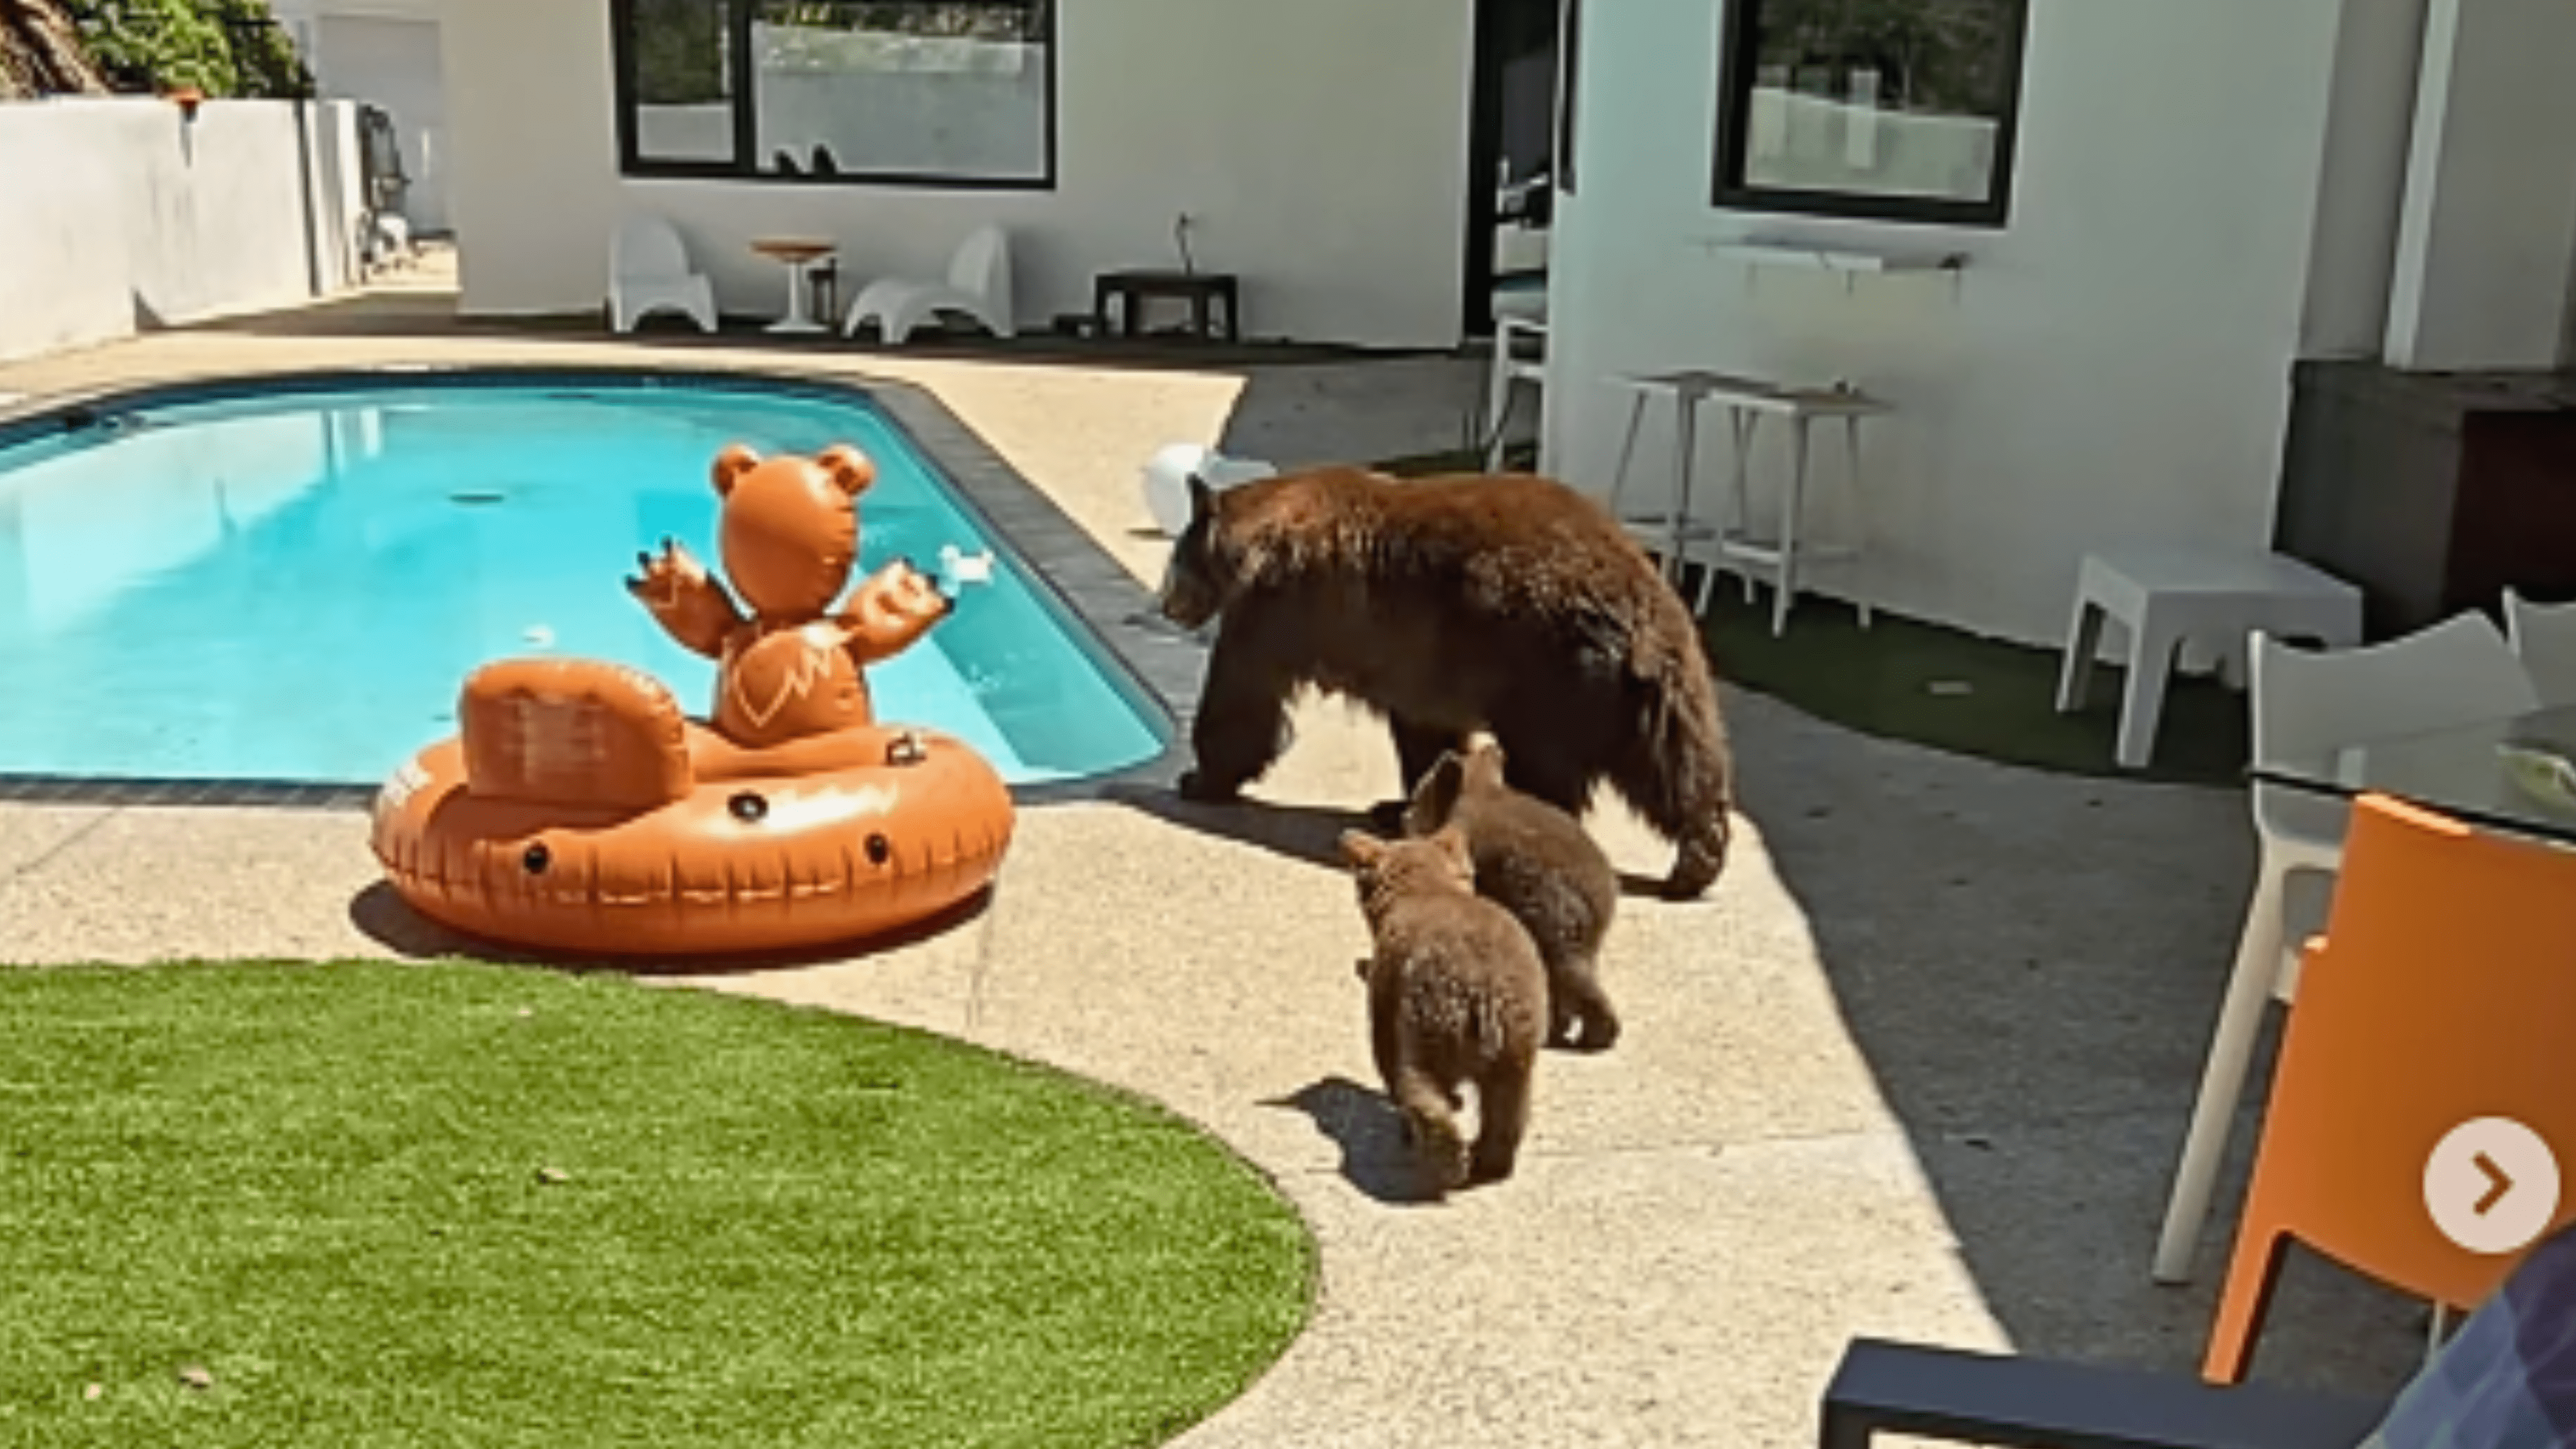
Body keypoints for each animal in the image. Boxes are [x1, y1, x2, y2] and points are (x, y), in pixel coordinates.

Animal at [1164, 461, 1731, 897]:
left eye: (1174, 563)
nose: (1167, 606)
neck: (1256, 537)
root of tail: (1636, 607)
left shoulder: (1275, 608)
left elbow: (1243, 693)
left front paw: (1199, 779)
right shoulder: (1420, 660)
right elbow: (1425, 730)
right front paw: (1405, 805)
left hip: (1543, 670)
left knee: (1549, 769)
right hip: (1662, 687)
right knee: (1679, 766)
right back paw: (1699, 861)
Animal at [1340, 820, 1535, 1191]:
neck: (1429, 889)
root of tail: (1483, 991)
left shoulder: (1385, 999)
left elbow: (1386, 1060)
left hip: (1429, 1027)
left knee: (1421, 1089)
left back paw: (1446, 1162)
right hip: (1516, 1047)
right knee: (1508, 1108)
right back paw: (1492, 1165)